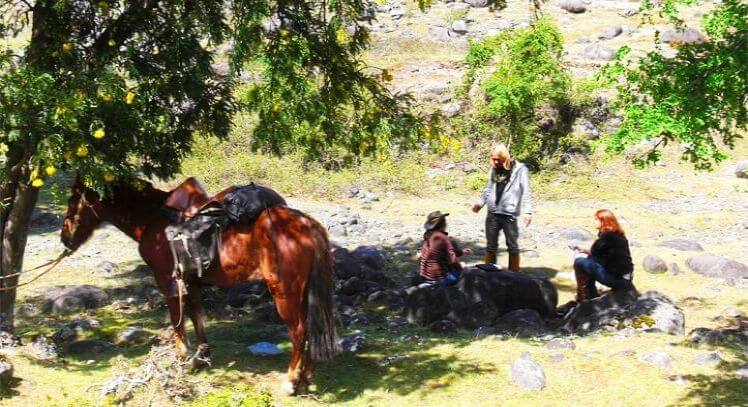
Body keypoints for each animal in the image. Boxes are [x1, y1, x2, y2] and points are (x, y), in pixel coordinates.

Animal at [60, 178, 340, 395]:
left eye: (73, 202)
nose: (65, 239)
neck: (152, 219)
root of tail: (306, 225)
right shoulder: (191, 282)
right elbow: (197, 317)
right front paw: (201, 358)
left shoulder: (168, 281)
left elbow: (178, 322)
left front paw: (182, 358)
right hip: (302, 293)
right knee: (310, 327)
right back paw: (305, 377)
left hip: (284, 293)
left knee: (299, 332)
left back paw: (291, 381)